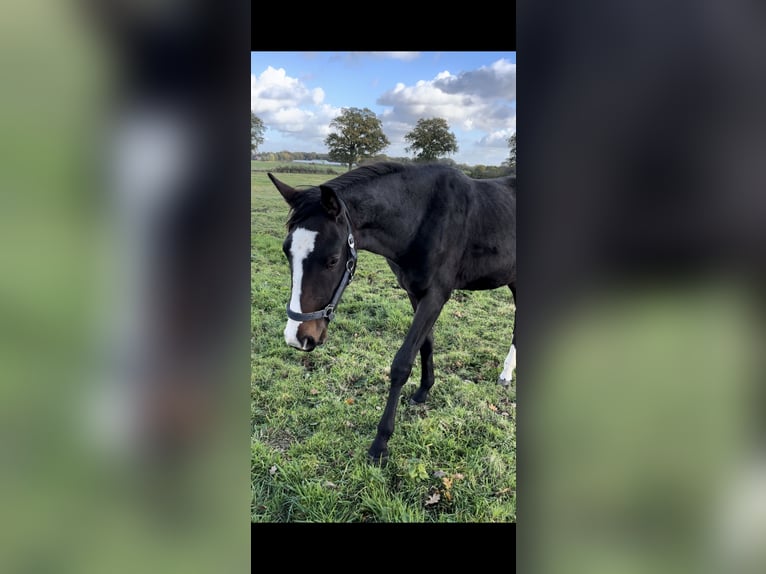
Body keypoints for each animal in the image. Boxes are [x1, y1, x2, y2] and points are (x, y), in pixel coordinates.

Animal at [268, 162, 516, 464]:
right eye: (287, 252)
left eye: (333, 260)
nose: (297, 337)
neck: (422, 218)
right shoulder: (414, 292)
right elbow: (426, 345)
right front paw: (423, 390)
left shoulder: (436, 295)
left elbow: (401, 363)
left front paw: (380, 443)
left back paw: (507, 374)